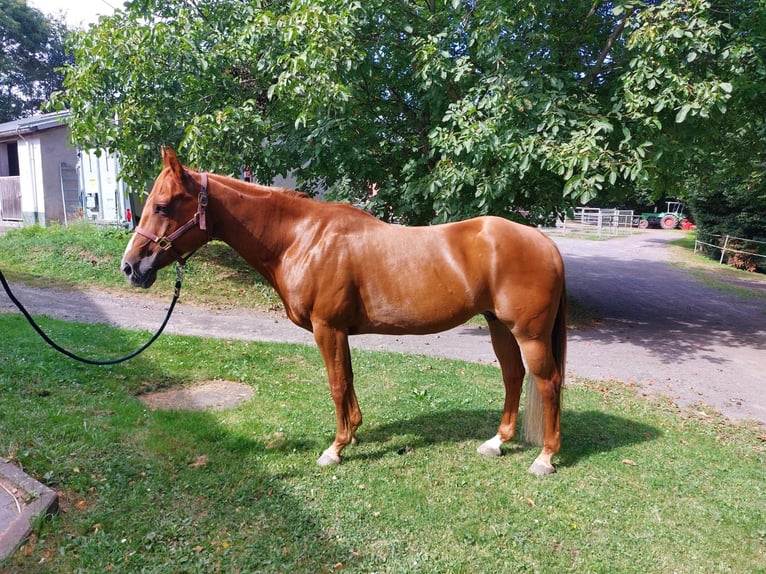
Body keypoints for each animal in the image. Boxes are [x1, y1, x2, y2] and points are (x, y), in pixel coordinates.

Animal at [121, 148, 567, 475]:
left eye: (162, 206)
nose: (130, 267)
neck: (302, 238)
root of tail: (545, 243)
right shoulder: (339, 331)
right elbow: (348, 381)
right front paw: (352, 434)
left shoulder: (327, 328)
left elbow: (336, 385)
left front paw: (335, 449)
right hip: (499, 326)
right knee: (513, 376)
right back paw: (497, 442)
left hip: (528, 334)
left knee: (547, 383)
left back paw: (544, 458)